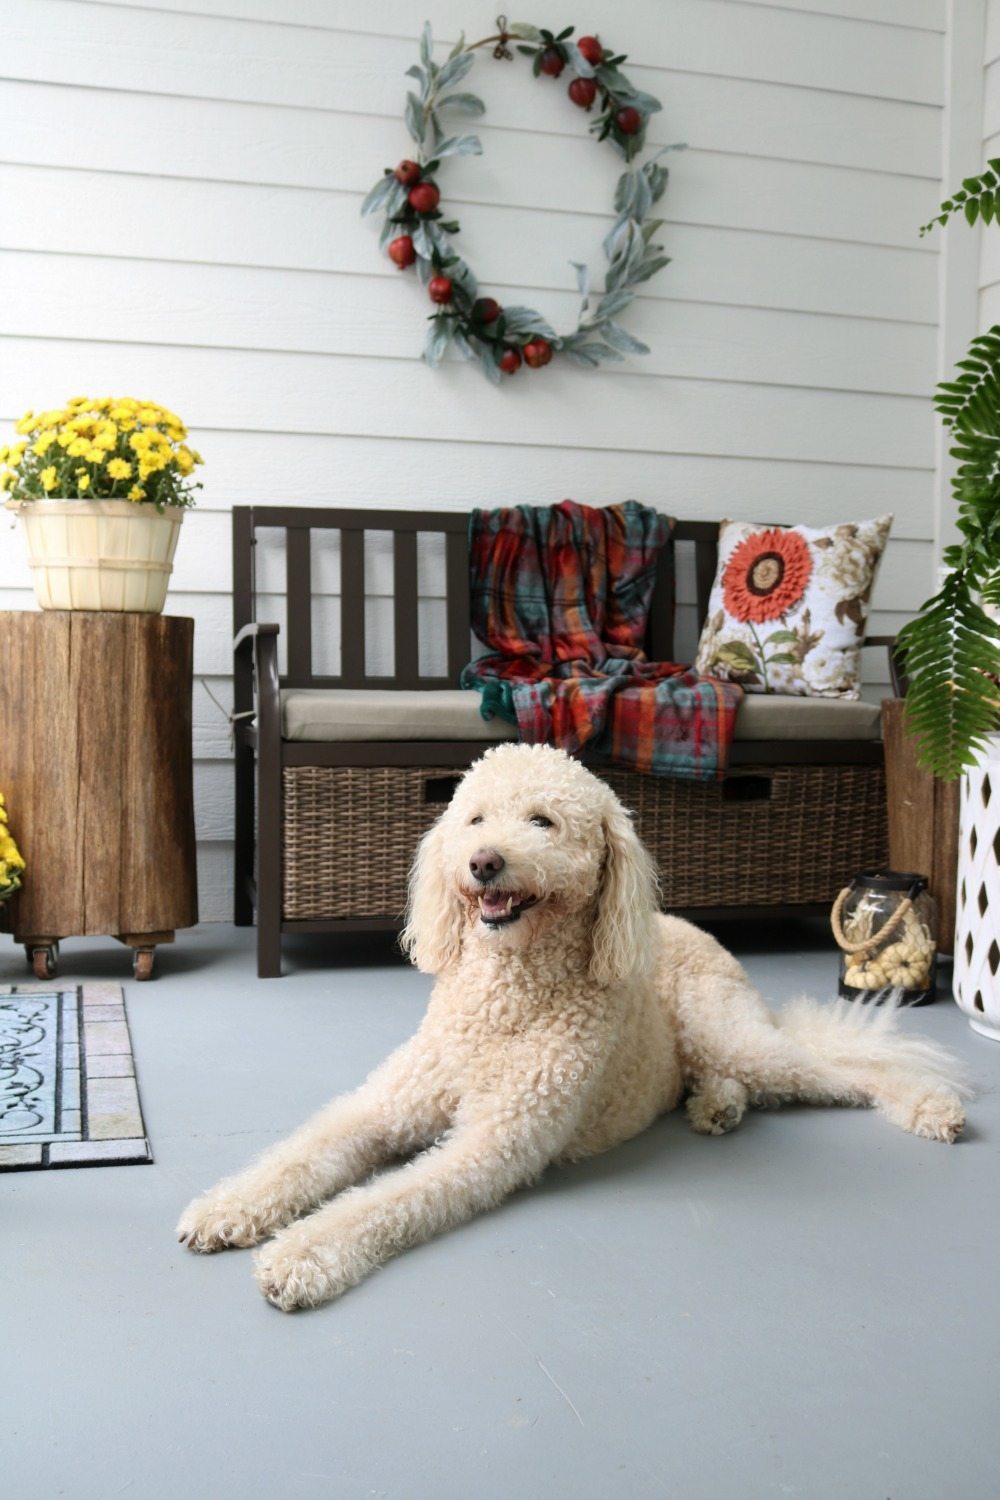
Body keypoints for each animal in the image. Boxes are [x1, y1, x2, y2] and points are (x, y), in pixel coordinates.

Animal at [179, 744, 971, 1308]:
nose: (483, 862)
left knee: (841, 1071)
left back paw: (928, 1105)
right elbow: (302, 1154)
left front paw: (299, 1256)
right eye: (473, 819)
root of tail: (688, 929)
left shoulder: (490, 1146)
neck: (503, 999)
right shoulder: (383, 1106)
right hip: (714, 1045)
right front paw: (230, 1206)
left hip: (734, 1033)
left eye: (543, 821)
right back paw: (715, 1105)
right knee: (735, 1079)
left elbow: (381, 1202)